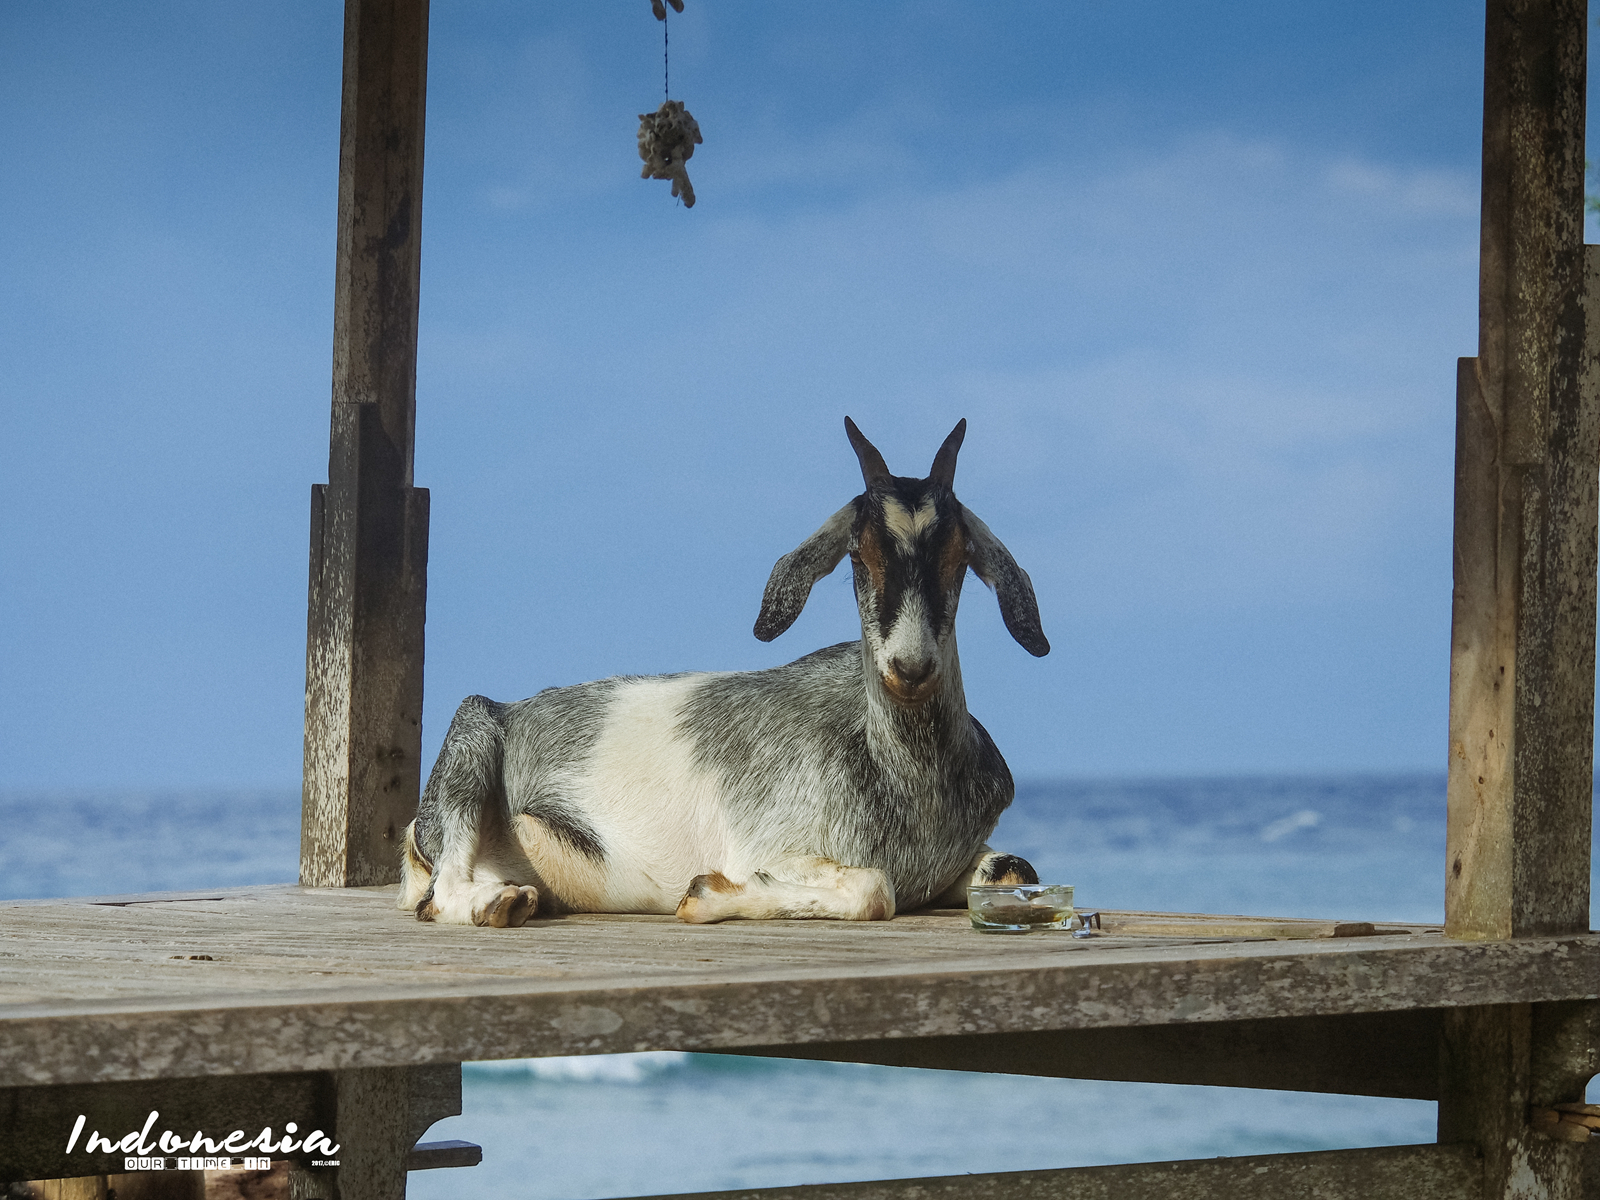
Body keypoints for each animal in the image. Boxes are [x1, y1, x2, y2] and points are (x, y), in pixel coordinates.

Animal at [400, 416, 1049, 928]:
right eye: (859, 554)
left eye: (958, 557)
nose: (909, 668)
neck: (905, 777)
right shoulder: (773, 845)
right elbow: (875, 888)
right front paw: (708, 895)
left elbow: (1015, 867)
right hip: (470, 738)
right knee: (439, 897)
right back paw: (498, 903)